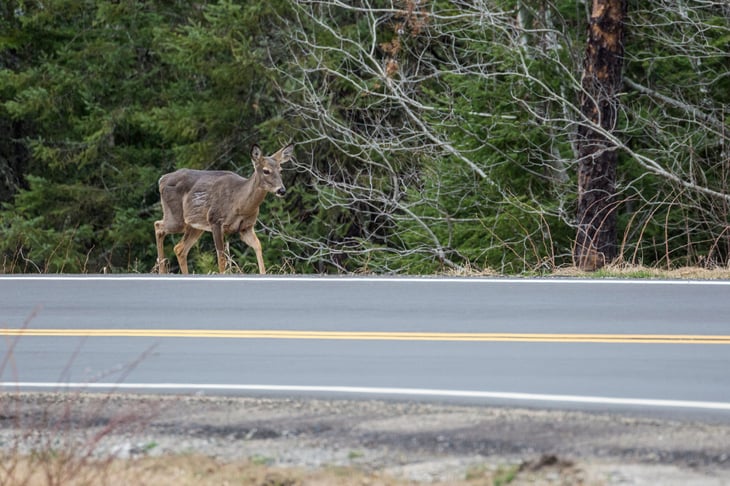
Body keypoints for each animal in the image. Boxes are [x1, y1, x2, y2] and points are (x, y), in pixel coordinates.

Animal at [154, 143, 294, 274]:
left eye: (281, 170)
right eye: (266, 171)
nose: (281, 190)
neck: (240, 205)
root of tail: (161, 179)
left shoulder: (246, 227)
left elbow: (258, 246)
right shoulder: (215, 220)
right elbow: (221, 258)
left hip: (195, 225)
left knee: (179, 248)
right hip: (177, 218)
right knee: (158, 226)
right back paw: (161, 270)